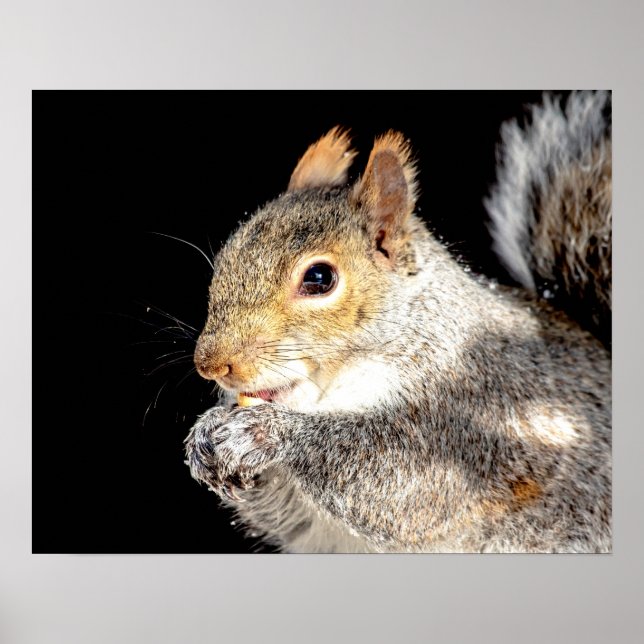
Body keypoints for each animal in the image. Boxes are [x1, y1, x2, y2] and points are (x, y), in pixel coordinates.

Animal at [185, 91, 611, 553]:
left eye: (319, 278)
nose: (211, 364)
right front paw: (206, 435)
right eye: (226, 256)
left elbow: (402, 482)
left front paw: (265, 433)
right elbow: (287, 514)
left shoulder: (470, 419)